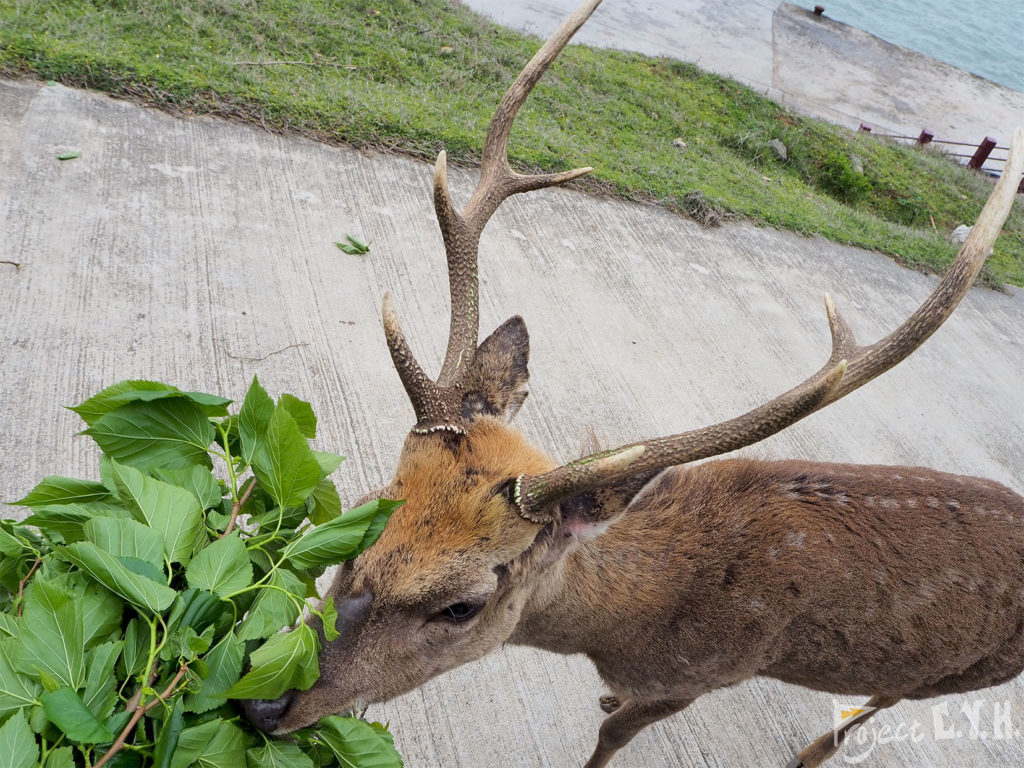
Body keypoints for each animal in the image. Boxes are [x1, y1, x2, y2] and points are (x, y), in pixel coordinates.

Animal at [241, 3, 1024, 765]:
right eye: (365, 509)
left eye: (462, 604)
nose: (258, 702)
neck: (627, 626)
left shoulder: (697, 677)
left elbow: (613, 740)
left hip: (962, 674)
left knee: (886, 701)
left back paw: (814, 753)